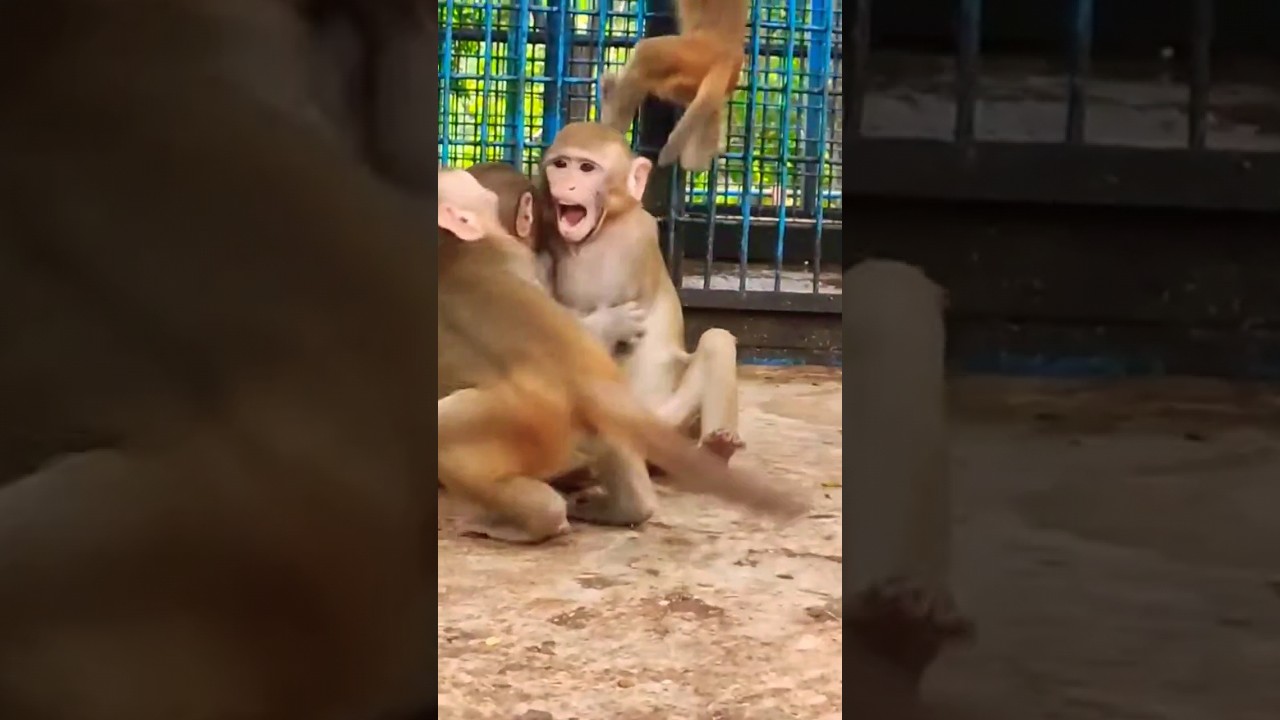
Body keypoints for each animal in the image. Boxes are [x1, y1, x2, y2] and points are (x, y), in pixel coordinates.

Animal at [537, 122, 746, 475]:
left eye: (587, 168)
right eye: (561, 164)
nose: (566, 183)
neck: (605, 228)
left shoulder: (635, 241)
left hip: (672, 422)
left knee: (716, 340)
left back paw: (717, 449)